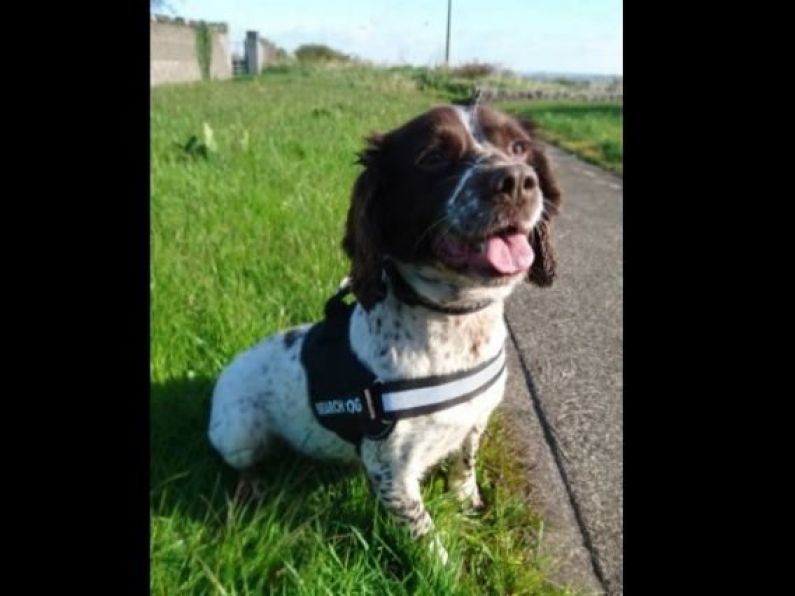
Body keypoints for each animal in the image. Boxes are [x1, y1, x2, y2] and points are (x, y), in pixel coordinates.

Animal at [208, 102, 564, 564]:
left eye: (519, 148)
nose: (517, 180)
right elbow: (425, 535)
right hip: (238, 433)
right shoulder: (391, 469)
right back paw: (255, 489)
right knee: (243, 464)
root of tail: (227, 370)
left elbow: (465, 466)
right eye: (433, 156)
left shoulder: (475, 420)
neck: (453, 324)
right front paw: (442, 569)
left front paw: (468, 502)